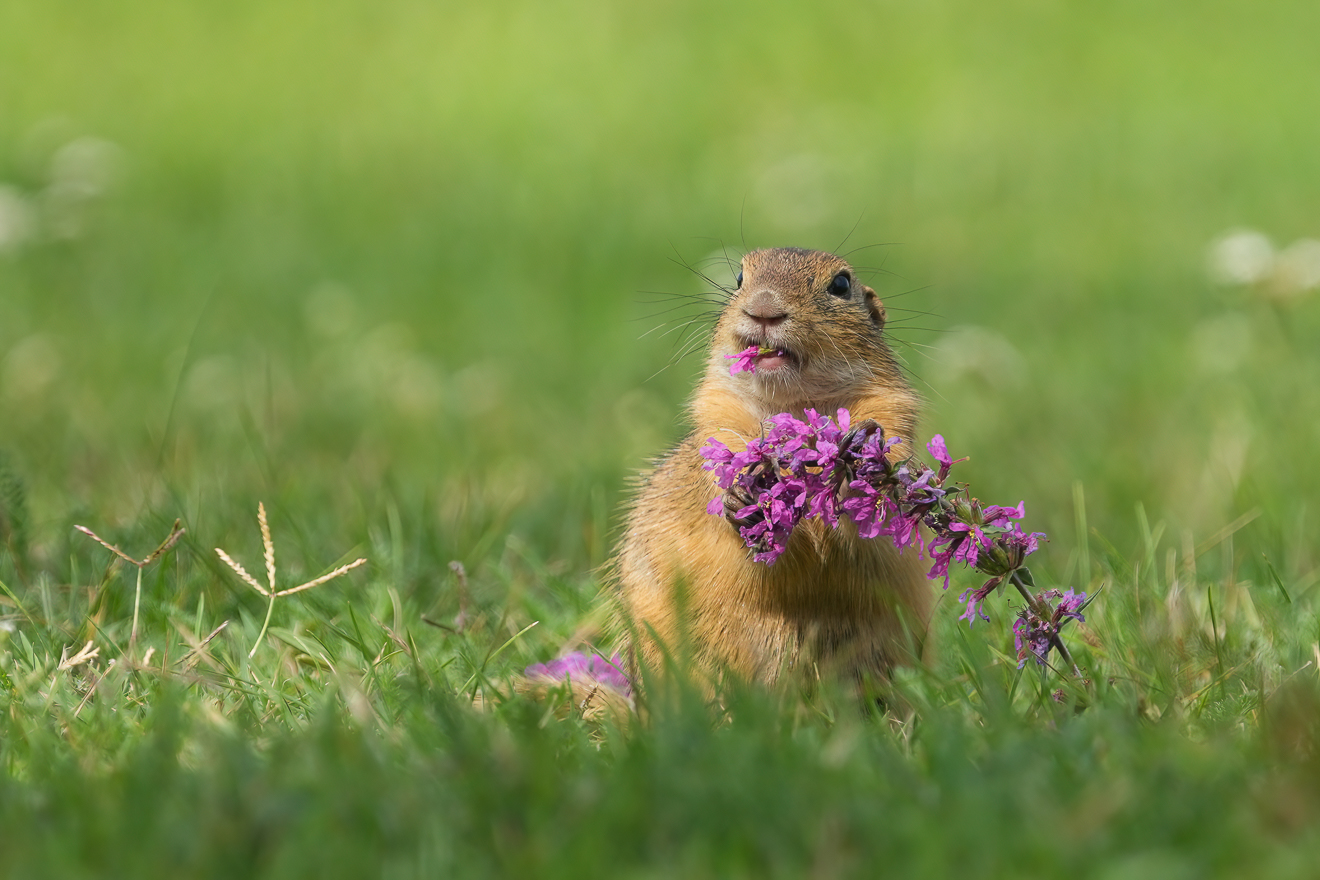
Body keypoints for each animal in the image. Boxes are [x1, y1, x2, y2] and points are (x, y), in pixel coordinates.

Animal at [609, 246, 929, 686]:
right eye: (740, 278)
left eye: (841, 284)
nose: (763, 309)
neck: (793, 406)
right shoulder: (717, 420)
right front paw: (742, 501)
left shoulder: (893, 412)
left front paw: (859, 460)